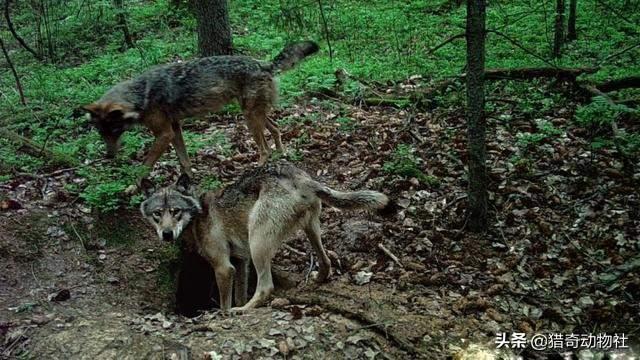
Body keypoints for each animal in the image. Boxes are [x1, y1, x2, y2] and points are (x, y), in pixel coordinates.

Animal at [82, 41, 320, 179]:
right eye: (101, 133)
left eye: (114, 131)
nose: (109, 156)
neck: (142, 95)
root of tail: (264, 64)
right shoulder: (175, 130)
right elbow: (184, 160)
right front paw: (188, 181)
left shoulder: (164, 134)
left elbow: (145, 165)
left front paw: (131, 187)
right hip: (255, 114)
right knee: (276, 129)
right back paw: (282, 154)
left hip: (250, 118)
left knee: (264, 149)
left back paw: (256, 169)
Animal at [139, 162, 396, 310]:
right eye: (157, 214)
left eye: (175, 211)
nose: (167, 234)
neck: (198, 215)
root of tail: (300, 178)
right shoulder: (241, 263)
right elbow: (239, 293)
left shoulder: (224, 267)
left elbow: (225, 304)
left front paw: (225, 314)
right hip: (310, 231)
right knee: (326, 262)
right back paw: (316, 280)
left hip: (258, 243)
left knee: (266, 288)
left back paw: (244, 311)